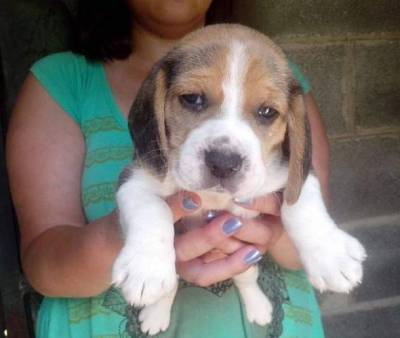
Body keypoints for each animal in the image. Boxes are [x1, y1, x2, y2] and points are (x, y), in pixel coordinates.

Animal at [111, 24, 368, 336]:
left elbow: (301, 206)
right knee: (172, 284)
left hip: (246, 259)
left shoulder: (293, 175)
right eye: (192, 99)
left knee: (246, 278)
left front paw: (331, 255)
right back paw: (155, 313)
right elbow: (152, 209)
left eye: (267, 112)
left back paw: (258, 307)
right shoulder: (135, 179)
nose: (224, 162)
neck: (215, 196)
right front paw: (146, 267)